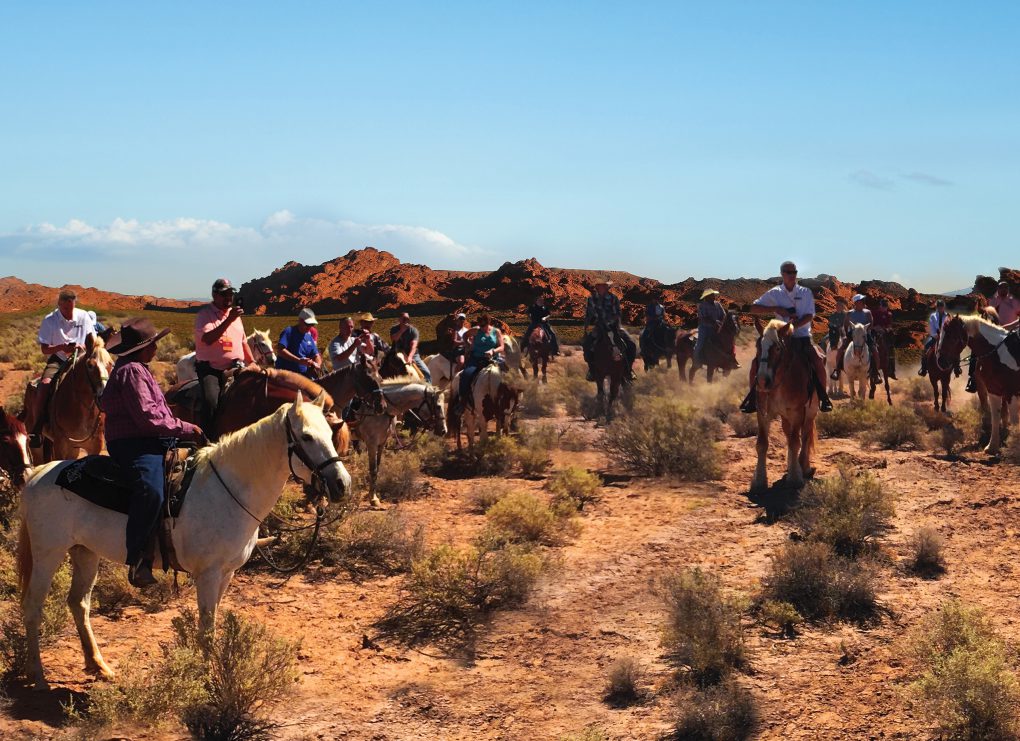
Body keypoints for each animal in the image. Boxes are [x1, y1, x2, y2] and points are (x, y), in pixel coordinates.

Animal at [15, 398, 348, 694]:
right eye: (306, 436)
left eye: (331, 433)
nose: (342, 484)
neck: (228, 489)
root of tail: (37, 475)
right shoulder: (208, 574)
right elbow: (207, 627)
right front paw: (205, 678)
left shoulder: (226, 573)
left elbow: (210, 622)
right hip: (48, 554)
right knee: (33, 606)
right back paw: (38, 676)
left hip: (86, 553)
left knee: (78, 604)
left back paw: (98, 666)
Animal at [750, 320, 820, 489]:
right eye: (758, 346)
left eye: (777, 348)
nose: (762, 381)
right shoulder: (763, 412)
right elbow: (762, 444)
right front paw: (759, 480)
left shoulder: (797, 412)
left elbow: (796, 442)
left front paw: (795, 478)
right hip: (786, 416)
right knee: (789, 434)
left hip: (810, 411)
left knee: (805, 435)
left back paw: (804, 466)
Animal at [934, 316, 1020, 455]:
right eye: (940, 336)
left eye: (952, 337)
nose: (941, 362)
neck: (998, 353)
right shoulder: (993, 390)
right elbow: (995, 416)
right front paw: (991, 447)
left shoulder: (1011, 392)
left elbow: (1014, 419)